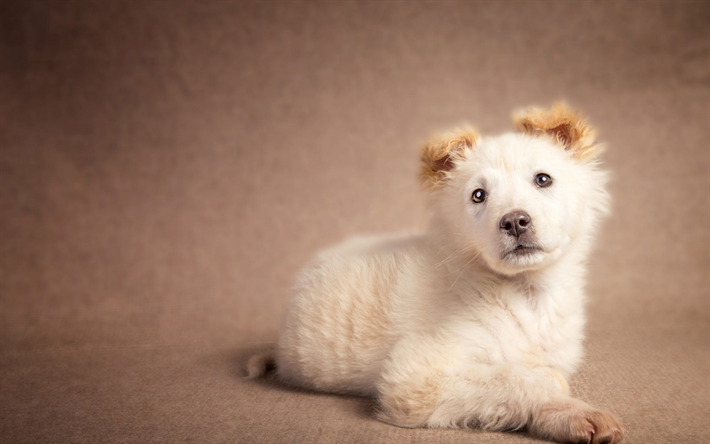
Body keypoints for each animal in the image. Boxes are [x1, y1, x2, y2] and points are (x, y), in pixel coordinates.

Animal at [249, 102, 624, 442]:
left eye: (543, 179)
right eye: (478, 196)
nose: (515, 222)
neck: (526, 292)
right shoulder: (414, 375)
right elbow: (519, 379)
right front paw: (571, 408)